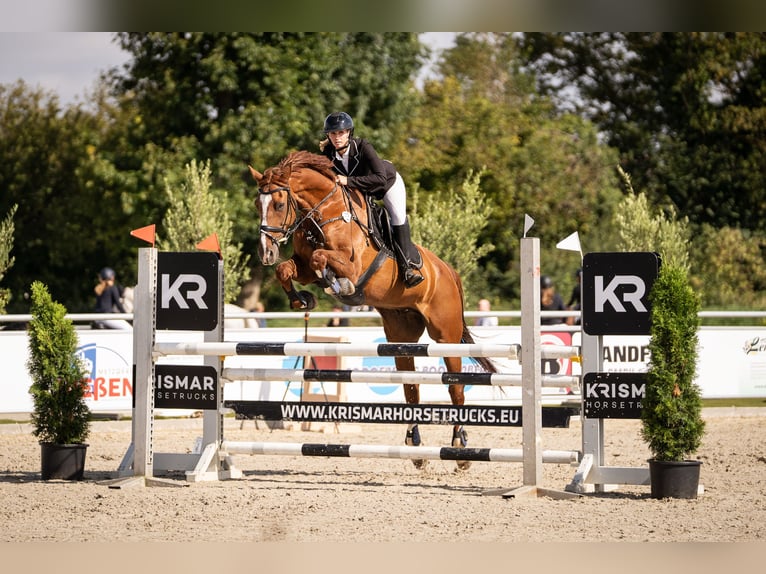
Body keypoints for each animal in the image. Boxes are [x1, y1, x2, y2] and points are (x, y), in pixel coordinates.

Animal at [248, 150, 496, 470]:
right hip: (401, 337)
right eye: (258, 205)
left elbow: (321, 259)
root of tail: (448, 271)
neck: (323, 212)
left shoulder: (351, 265)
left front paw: (338, 286)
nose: (265, 253)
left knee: (455, 389)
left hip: (446, 336)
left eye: (279, 204)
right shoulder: (301, 266)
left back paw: (460, 448)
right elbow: (287, 269)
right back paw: (415, 446)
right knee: (411, 389)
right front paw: (302, 300)